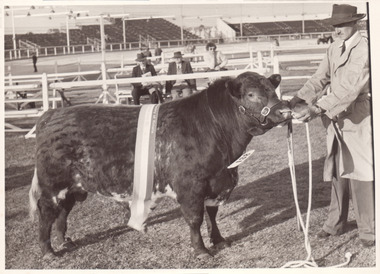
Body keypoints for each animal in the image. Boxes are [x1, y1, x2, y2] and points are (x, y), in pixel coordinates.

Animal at [29, 71, 290, 260]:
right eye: (252, 95)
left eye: (272, 90)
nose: (285, 111)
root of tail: (51, 114)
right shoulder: (191, 187)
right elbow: (195, 219)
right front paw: (201, 250)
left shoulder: (217, 184)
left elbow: (212, 215)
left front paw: (218, 240)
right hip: (52, 185)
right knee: (47, 213)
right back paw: (48, 251)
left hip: (73, 186)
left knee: (63, 211)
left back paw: (64, 240)